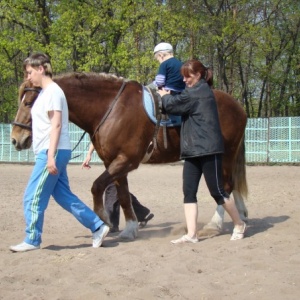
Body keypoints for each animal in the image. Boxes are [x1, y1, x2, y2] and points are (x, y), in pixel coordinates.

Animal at [10, 72, 247, 239]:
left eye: (29, 102)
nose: (15, 138)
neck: (111, 108)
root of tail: (238, 106)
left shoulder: (126, 161)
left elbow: (97, 186)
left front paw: (103, 221)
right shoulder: (115, 163)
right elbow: (123, 195)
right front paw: (130, 229)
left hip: (223, 156)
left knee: (224, 187)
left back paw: (215, 224)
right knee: (232, 185)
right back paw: (242, 214)